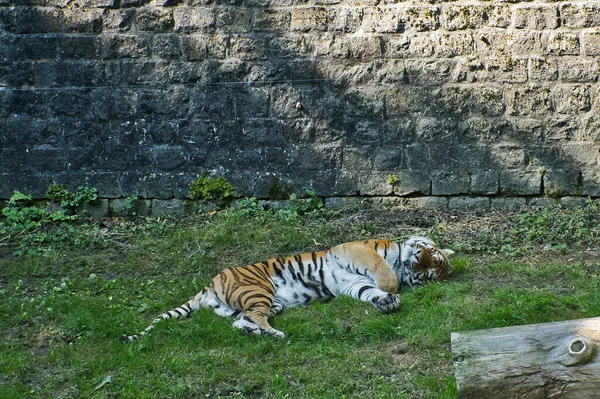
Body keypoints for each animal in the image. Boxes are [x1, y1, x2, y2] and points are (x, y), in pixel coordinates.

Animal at [120, 236, 450, 342]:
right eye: (429, 252)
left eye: (429, 270)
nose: (418, 258)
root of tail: (209, 284)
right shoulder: (357, 250)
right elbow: (384, 272)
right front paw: (391, 289)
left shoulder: (355, 284)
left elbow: (370, 292)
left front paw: (387, 302)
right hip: (259, 289)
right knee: (256, 317)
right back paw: (275, 334)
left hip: (251, 304)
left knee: (243, 321)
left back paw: (257, 332)